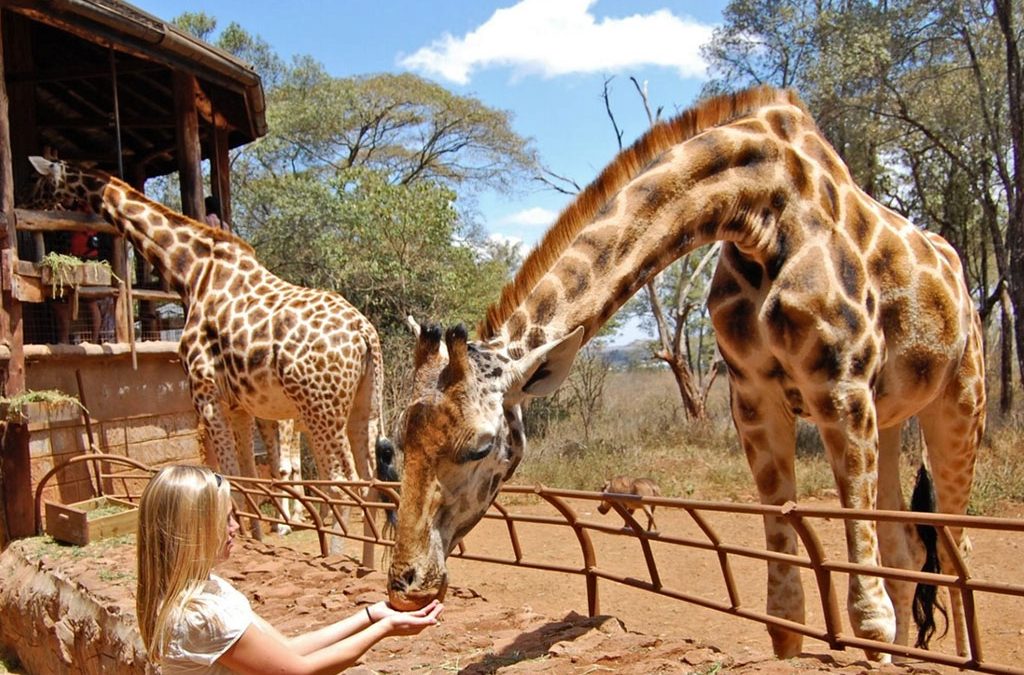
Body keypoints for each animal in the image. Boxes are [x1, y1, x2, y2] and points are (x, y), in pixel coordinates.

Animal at [28, 155, 387, 566]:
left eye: (39, 183)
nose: (30, 206)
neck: (190, 272)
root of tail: (364, 332)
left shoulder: (204, 394)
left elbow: (231, 478)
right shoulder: (240, 405)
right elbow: (249, 477)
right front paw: (255, 537)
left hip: (319, 407)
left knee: (342, 483)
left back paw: (337, 559)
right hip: (362, 404)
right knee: (370, 479)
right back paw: (366, 563)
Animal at [383, 87, 986, 661]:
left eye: (482, 447)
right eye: (398, 442)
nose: (406, 585)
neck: (761, 211)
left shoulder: (841, 387)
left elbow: (869, 610)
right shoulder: (754, 400)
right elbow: (784, 608)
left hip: (958, 403)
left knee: (960, 550)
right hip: (892, 416)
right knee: (906, 543)